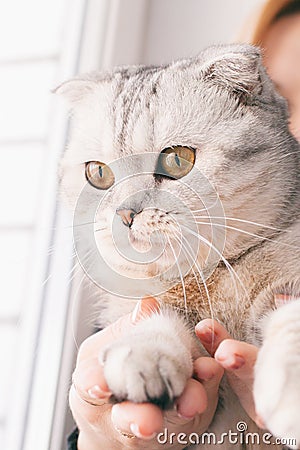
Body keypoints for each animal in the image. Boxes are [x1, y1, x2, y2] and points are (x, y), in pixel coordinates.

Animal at [56, 44, 300, 450]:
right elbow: (161, 319)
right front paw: (143, 355)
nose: (125, 213)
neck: (206, 280)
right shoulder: (144, 308)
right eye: (98, 173)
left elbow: (291, 321)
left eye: (177, 159)